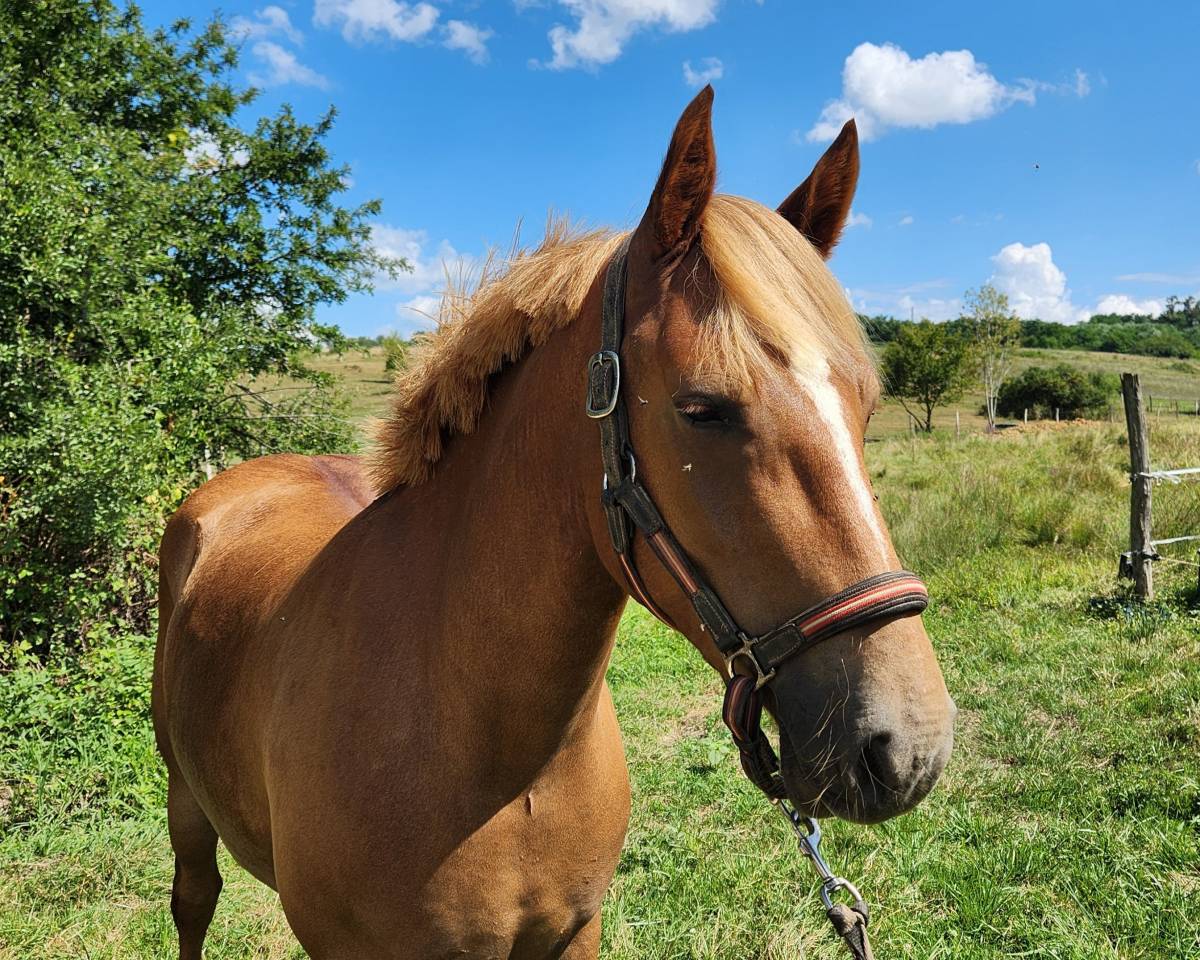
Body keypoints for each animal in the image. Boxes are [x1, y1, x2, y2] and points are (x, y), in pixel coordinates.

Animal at [153, 86, 955, 960]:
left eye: (866, 407)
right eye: (701, 409)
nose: (907, 746)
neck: (495, 763)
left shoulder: (573, 933)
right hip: (185, 804)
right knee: (193, 903)